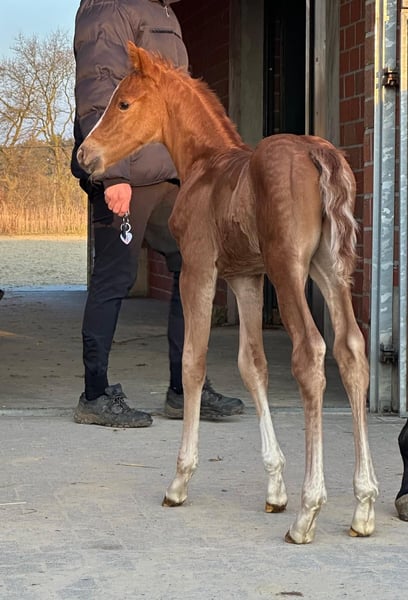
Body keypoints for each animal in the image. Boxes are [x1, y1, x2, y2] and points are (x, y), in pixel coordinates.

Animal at [77, 43, 379, 544]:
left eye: (123, 104)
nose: (84, 155)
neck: (205, 165)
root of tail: (316, 151)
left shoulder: (198, 270)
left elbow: (192, 362)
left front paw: (179, 481)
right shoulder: (245, 279)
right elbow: (252, 365)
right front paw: (274, 488)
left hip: (289, 268)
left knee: (311, 353)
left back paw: (308, 512)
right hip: (330, 269)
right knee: (351, 350)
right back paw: (363, 506)